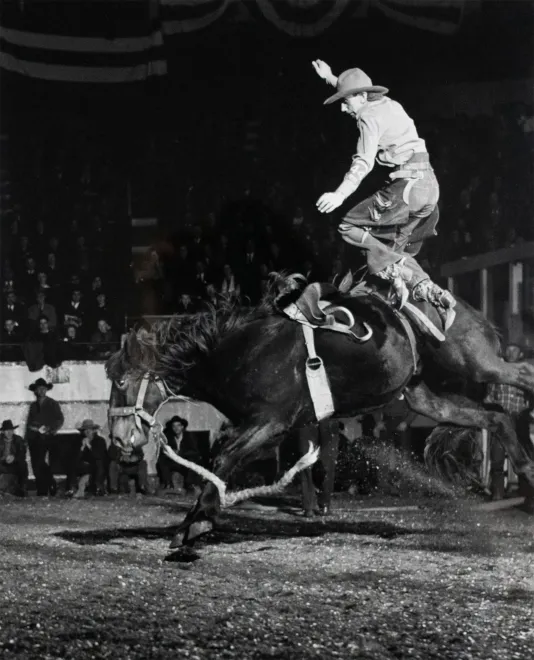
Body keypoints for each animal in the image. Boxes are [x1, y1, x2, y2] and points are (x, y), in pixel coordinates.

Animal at [106, 283, 534, 548]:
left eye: (122, 379)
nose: (119, 438)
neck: (241, 349)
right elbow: (219, 461)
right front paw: (192, 520)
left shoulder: (270, 423)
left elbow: (222, 456)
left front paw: (198, 522)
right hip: (423, 395)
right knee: (495, 418)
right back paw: (527, 469)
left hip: (477, 362)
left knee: (523, 376)